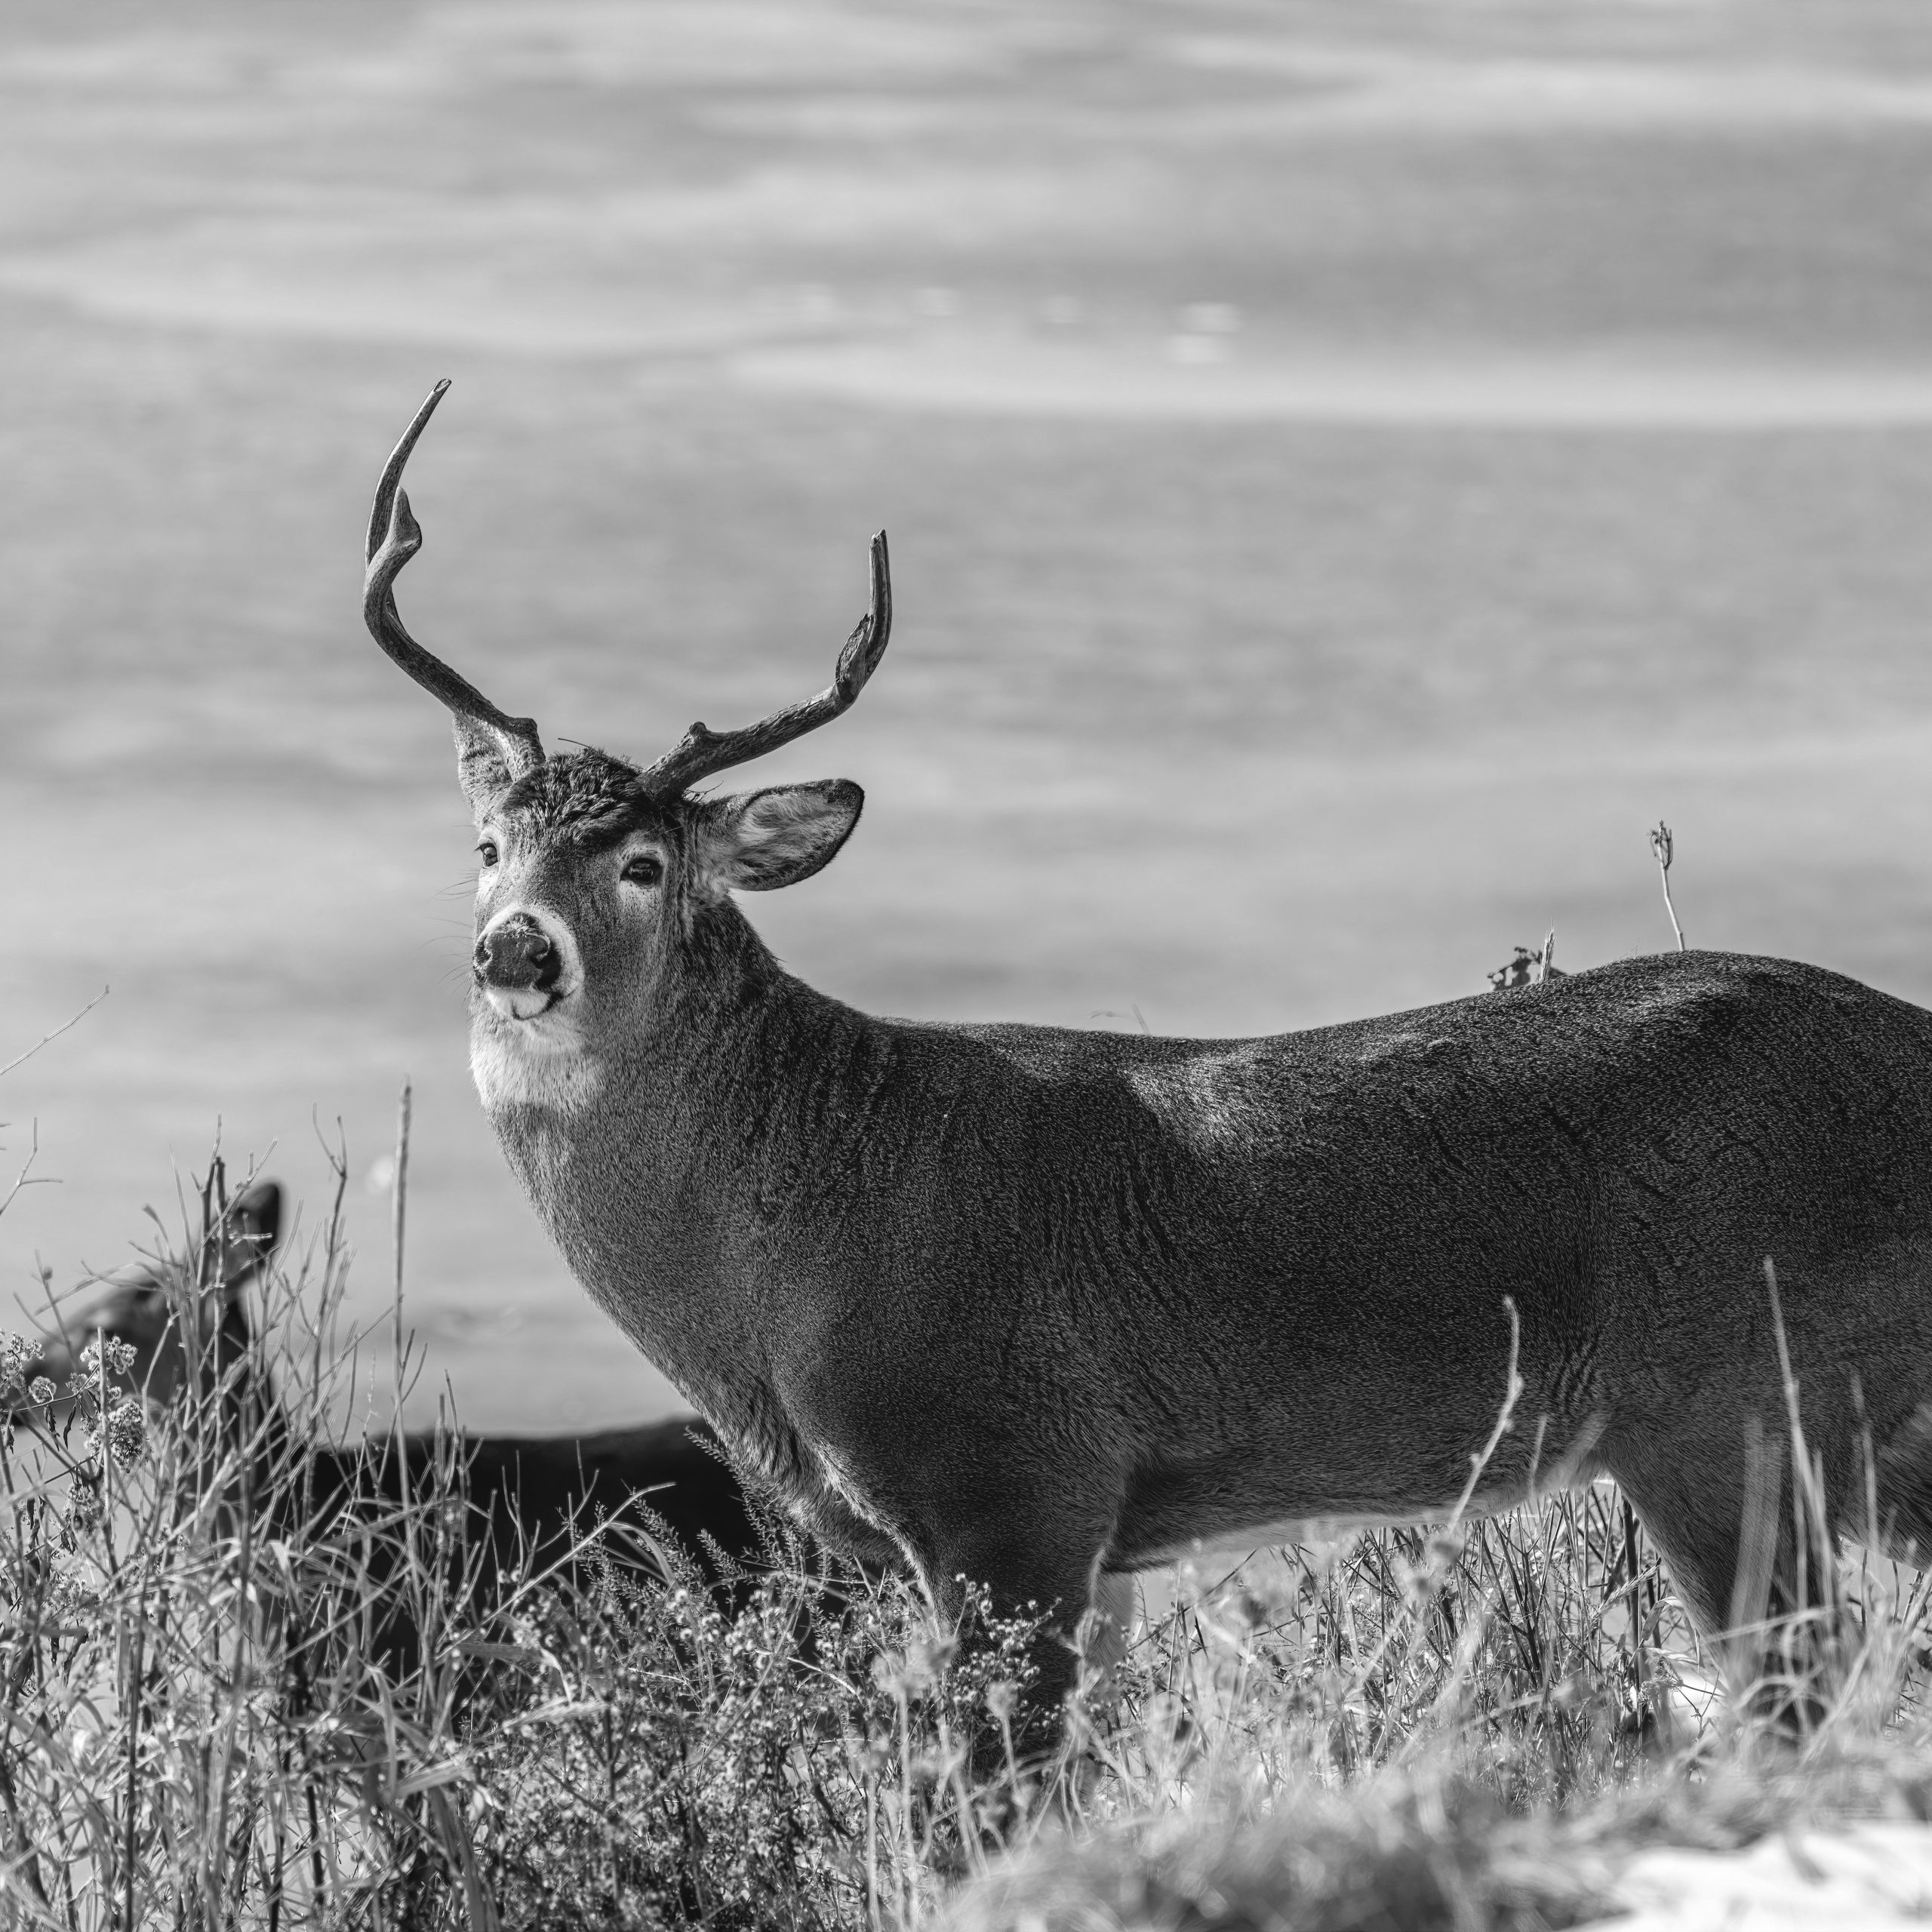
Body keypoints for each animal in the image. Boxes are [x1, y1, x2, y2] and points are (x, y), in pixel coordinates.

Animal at [363, 377, 1932, 1723]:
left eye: (640, 865)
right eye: (489, 845)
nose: (516, 952)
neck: (798, 1239)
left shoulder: (1018, 1478)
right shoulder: (1085, 1538)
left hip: (1731, 1401)